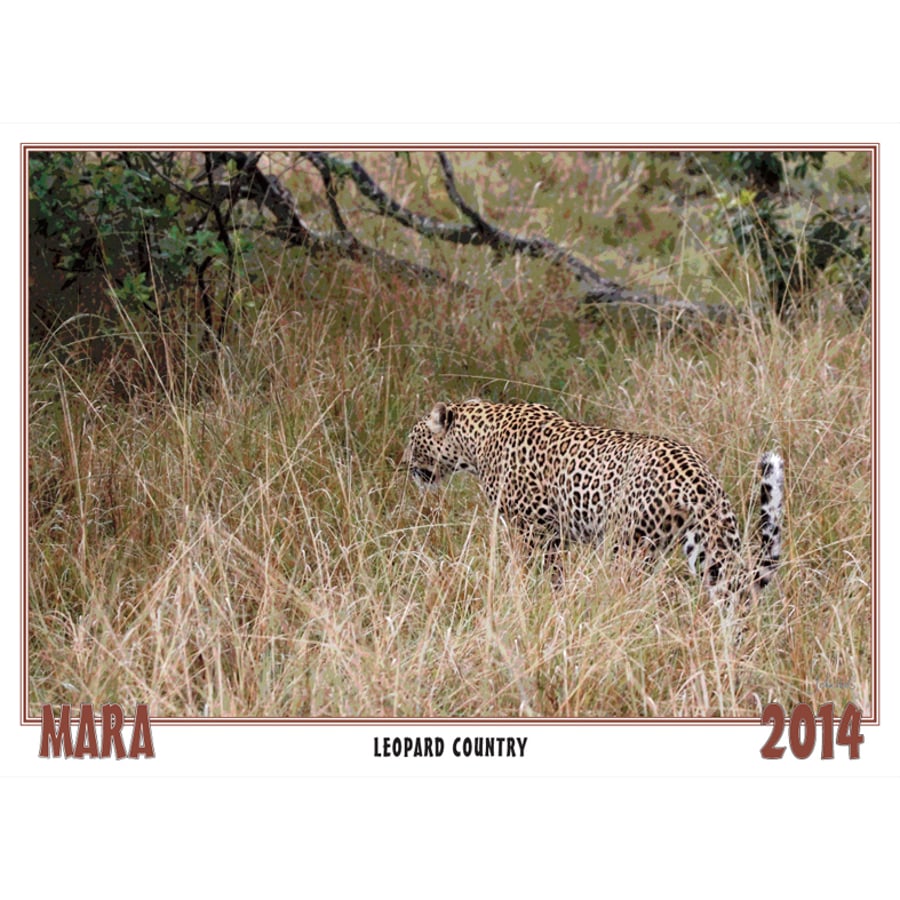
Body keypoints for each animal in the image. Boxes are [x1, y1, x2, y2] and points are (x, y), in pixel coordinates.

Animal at [402, 399, 784, 610]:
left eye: (412, 439)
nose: (403, 464)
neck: (475, 440)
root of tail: (700, 476)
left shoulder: (534, 531)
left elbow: (532, 573)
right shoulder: (550, 534)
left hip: (630, 546)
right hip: (706, 548)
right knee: (735, 595)